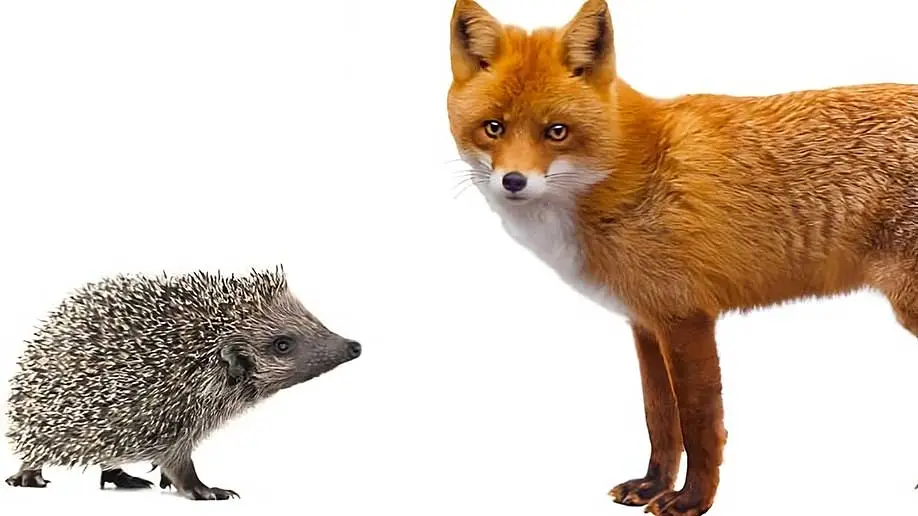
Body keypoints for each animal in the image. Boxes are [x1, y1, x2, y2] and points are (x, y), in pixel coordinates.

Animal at [446, 0, 918, 514]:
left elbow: (698, 422)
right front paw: (651, 485)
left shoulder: (686, 317)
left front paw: (693, 499)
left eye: (557, 132)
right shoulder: (645, 321)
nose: (513, 181)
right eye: (494, 128)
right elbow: (659, 418)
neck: (630, 170)